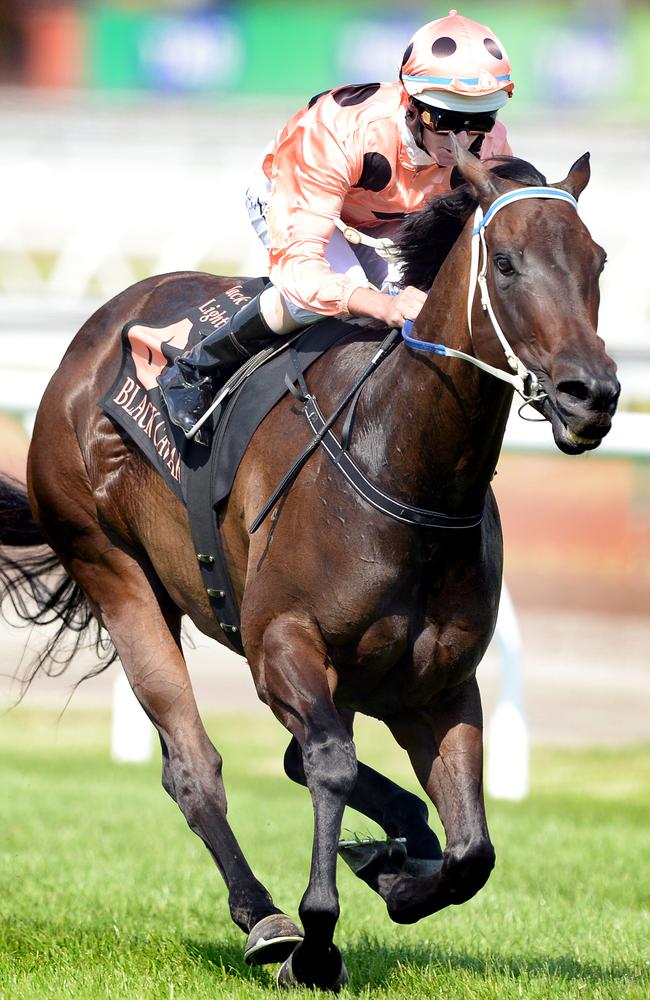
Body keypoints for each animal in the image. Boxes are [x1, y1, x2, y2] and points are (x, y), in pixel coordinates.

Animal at [0, 145, 616, 988]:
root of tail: (90, 338)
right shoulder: (284, 646)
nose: (593, 395)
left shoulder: (440, 688)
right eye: (509, 263)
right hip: (112, 569)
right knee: (195, 768)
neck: (402, 465)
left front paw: (397, 876)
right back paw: (263, 917)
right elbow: (329, 767)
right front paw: (318, 938)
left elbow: (472, 851)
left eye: (598, 261)